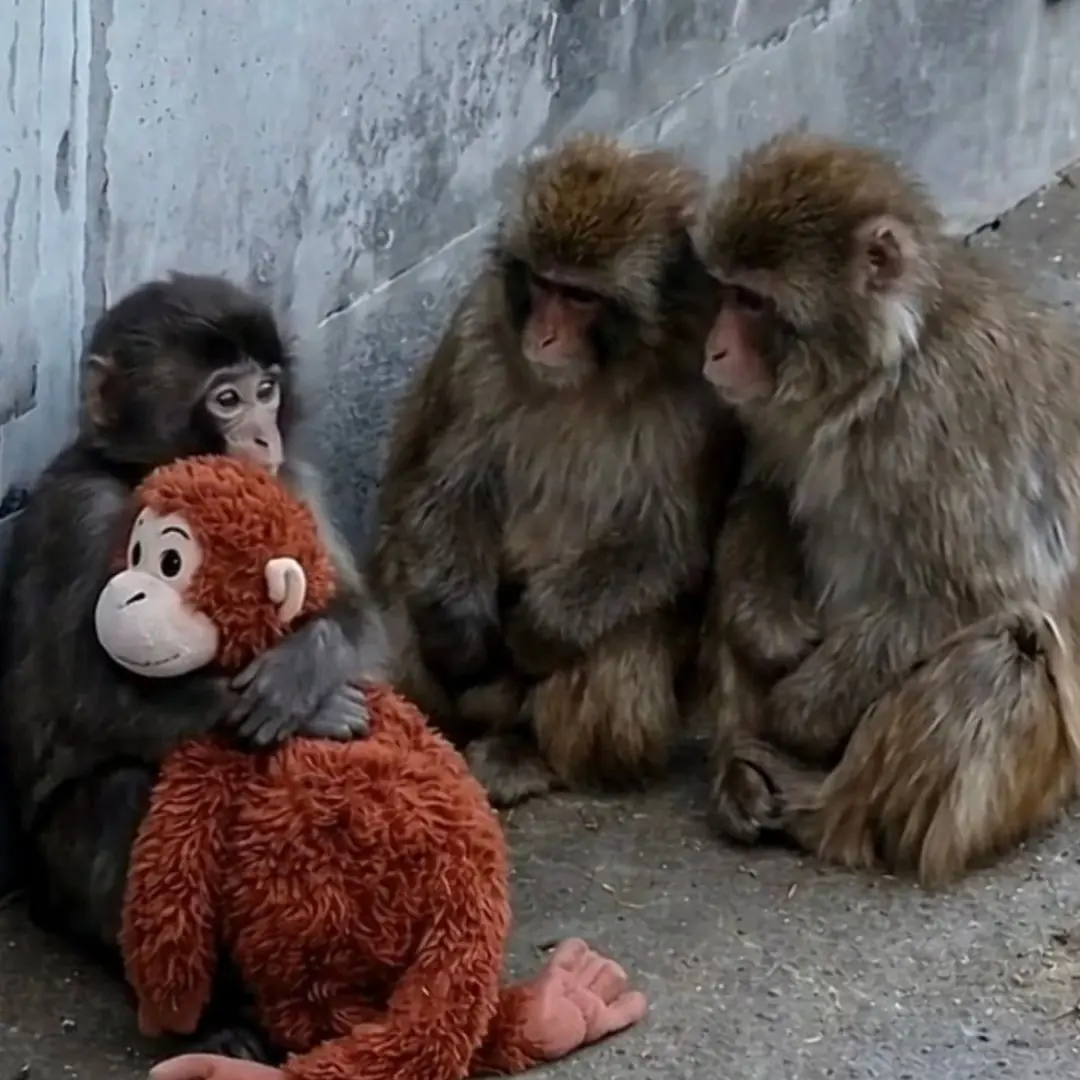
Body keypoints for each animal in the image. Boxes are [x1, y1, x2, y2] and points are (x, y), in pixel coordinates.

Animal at [0, 272, 389, 1059]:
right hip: (54, 881)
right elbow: (89, 694)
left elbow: (362, 620)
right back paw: (205, 1017)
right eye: (226, 398)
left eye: (267, 389)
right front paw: (317, 709)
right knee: (129, 793)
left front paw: (303, 673)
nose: (265, 435)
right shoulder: (77, 514)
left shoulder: (292, 479)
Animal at [368, 133, 742, 807]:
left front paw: (537, 629)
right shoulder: (480, 338)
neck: (598, 377)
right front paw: (461, 631)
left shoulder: (709, 390)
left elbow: (669, 541)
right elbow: (446, 491)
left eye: (580, 296)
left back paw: (530, 752)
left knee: (620, 641)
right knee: (409, 588)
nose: (543, 336)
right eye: (542, 285)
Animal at [693, 130, 1080, 888]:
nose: (713, 349)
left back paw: (816, 803)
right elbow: (763, 492)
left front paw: (799, 712)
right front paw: (771, 629)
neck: (881, 376)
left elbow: (982, 590)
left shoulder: (950, 413)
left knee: (1009, 653)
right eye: (724, 291)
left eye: (751, 302)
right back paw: (738, 775)